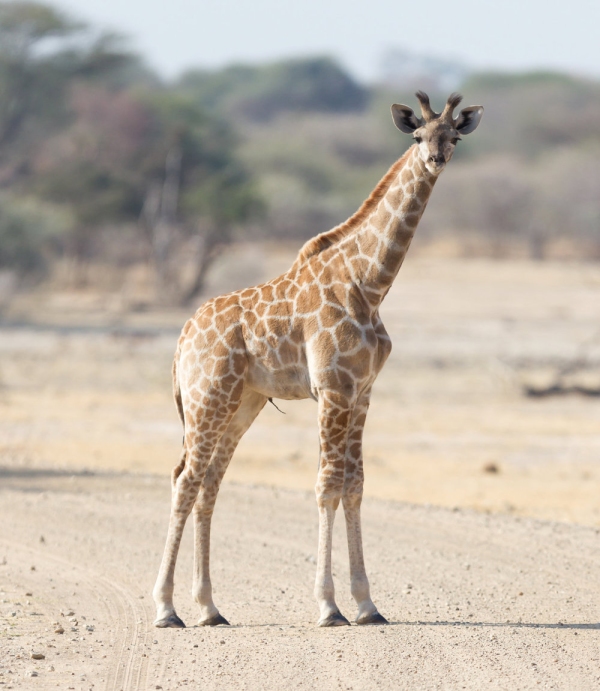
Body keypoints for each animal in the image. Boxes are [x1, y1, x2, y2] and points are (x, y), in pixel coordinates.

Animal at [154, 90, 482, 628]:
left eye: (453, 135)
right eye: (417, 135)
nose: (436, 159)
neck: (369, 283)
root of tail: (183, 335)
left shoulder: (363, 392)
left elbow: (355, 486)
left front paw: (367, 605)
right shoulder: (332, 388)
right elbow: (327, 485)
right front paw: (329, 607)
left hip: (242, 403)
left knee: (209, 484)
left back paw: (209, 609)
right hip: (207, 397)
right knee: (185, 480)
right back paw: (166, 609)